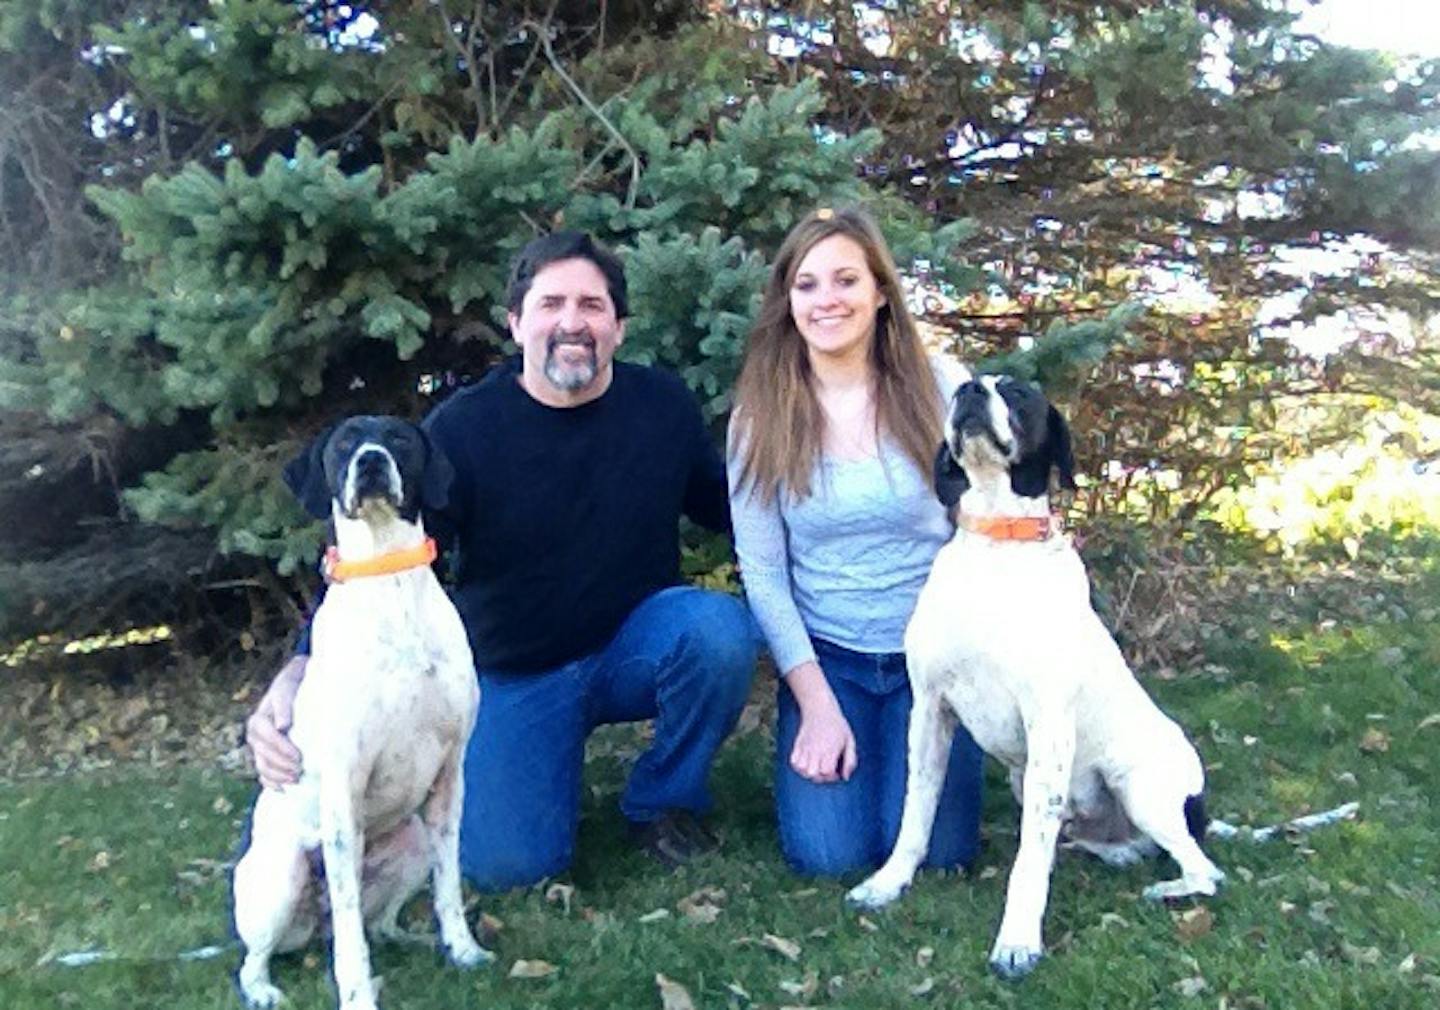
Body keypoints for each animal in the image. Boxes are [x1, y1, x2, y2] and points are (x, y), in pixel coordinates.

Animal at [231, 414, 489, 1002]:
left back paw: (416, 940)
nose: (370, 461)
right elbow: (351, 937)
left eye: (399, 438)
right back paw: (263, 991)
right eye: (345, 442)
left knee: (380, 922)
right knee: (260, 956)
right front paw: (357, 998)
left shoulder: (450, 776)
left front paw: (463, 948)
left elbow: (449, 885)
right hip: (281, 880)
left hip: (413, 842)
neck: (387, 575)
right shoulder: (343, 796)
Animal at [840, 377, 1226, 979]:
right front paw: (888, 883)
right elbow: (914, 814)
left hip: (1137, 785)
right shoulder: (929, 711)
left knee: (1206, 870)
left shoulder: (1047, 724)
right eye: (963, 387)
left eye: (1019, 393)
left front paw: (1017, 941)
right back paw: (1115, 852)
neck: (998, 542)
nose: (970, 391)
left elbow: (1028, 862)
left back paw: (1167, 888)